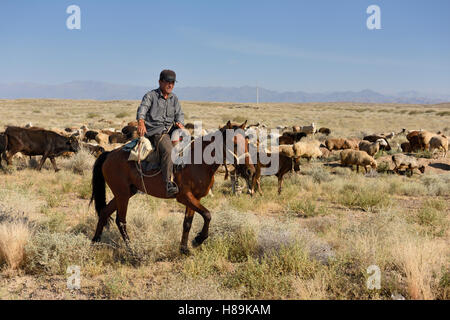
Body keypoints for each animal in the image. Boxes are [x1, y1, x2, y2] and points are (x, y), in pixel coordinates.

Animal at [89, 121, 255, 254]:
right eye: (234, 143)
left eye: (247, 143)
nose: (250, 171)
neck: (197, 162)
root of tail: (109, 154)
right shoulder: (184, 197)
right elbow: (207, 215)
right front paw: (198, 239)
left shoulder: (195, 198)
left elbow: (187, 223)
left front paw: (184, 249)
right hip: (122, 194)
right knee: (121, 221)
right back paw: (132, 250)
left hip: (126, 192)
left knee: (104, 212)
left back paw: (95, 242)